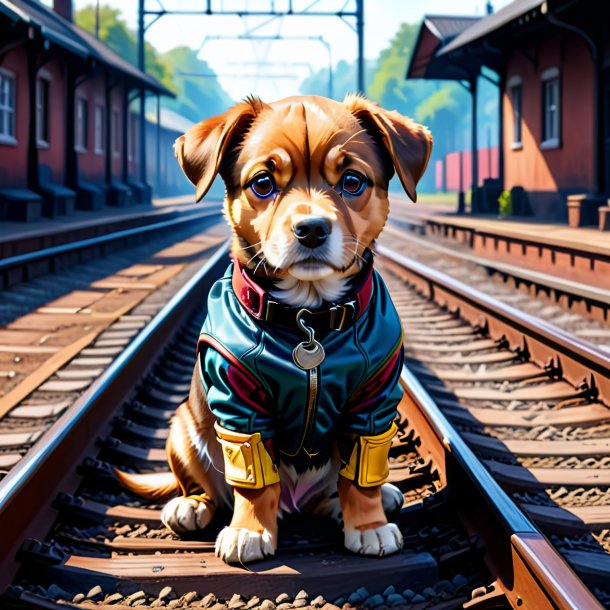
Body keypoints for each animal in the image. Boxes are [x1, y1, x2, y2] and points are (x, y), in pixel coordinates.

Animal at [116, 92, 430, 564]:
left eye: (353, 181)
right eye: (263, 183)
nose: (312, 229)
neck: (308, 319)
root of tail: (294, 503)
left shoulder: (374, 402)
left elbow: (360, 476)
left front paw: (369, 526)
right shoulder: (239, 404)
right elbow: (253, 480)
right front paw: (249, 531)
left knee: (337, 486)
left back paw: (362, 500)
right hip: (182, 426)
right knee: (208, 486)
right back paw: (191, 507)